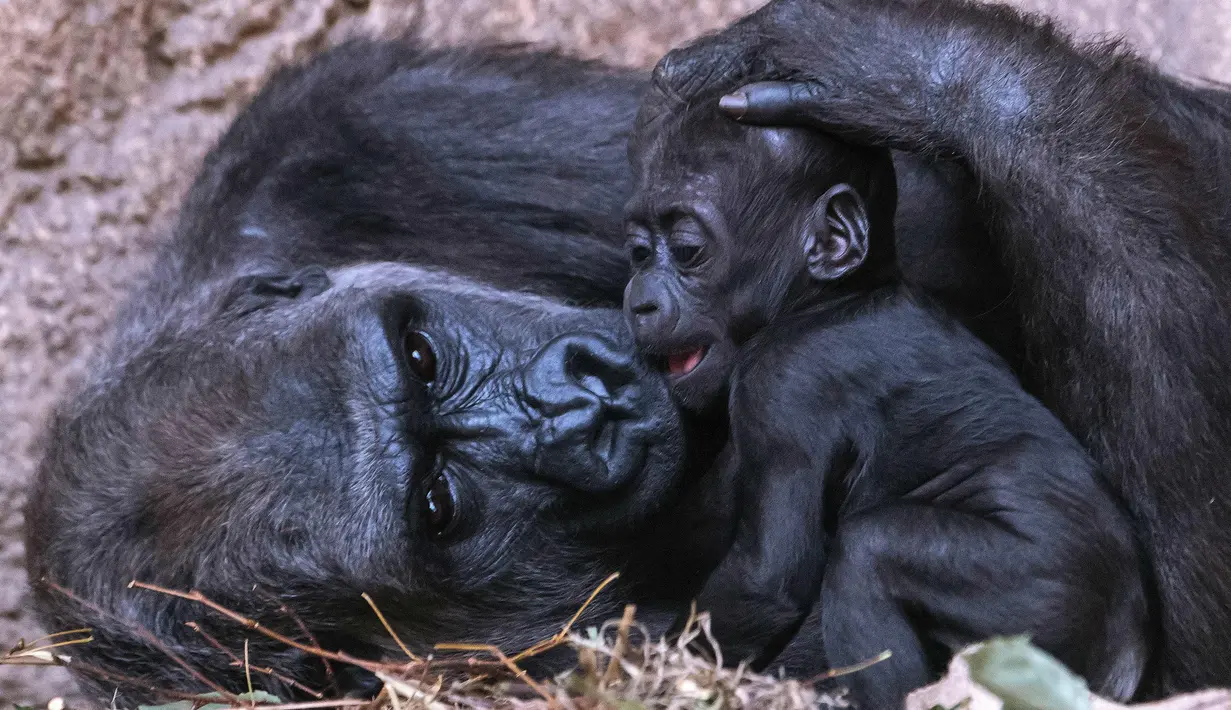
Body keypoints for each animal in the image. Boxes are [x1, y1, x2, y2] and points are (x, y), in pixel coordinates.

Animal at [24, 0, 1231, 703]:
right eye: (436, 504)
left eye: (418, 356)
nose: (575, 407)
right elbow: (1195, 619)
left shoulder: (351, 124)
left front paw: (915, 65)